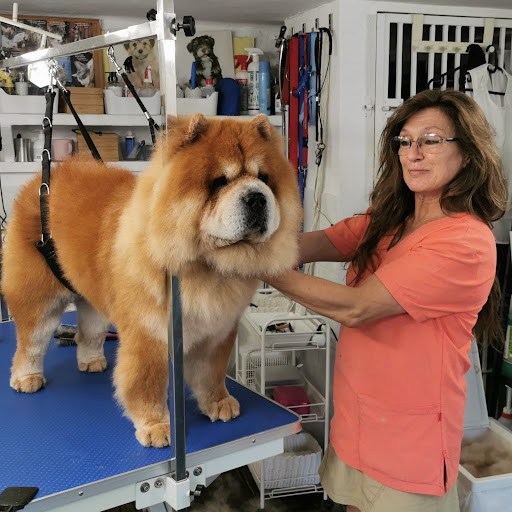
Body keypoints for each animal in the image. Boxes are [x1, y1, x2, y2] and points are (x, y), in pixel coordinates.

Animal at [2, 115, 302, 448]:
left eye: (264, 178)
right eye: (220, 182)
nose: (257, 198)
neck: (205, 267)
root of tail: (41, 183)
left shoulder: (217, 330)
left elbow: (211, 372)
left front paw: (218, 403)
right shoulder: (149, 332)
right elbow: (147, 381)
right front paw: (156, 426)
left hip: (93, 303)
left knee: (88, 332)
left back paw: (92, 361)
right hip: (38, 297)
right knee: (32, 341)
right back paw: (27, 378)